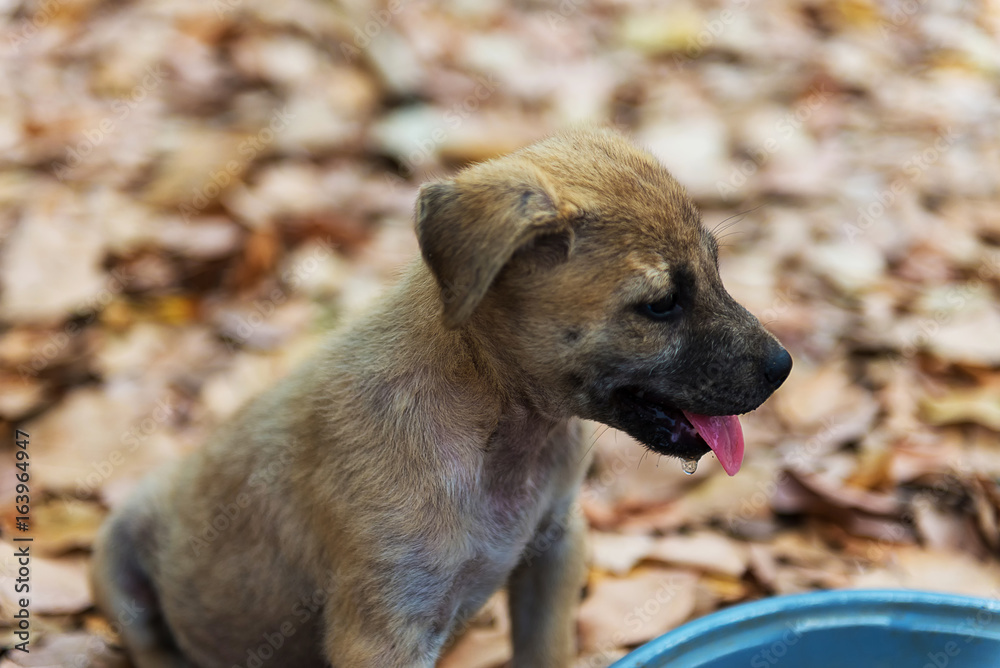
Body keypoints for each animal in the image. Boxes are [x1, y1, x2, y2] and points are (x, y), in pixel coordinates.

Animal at [95, 126, 796, 668]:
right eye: (660, 305)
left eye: (716, 268)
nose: (782, 367)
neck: (495, 427)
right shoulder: (384, 629)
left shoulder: (554, 550)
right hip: (118, 564)